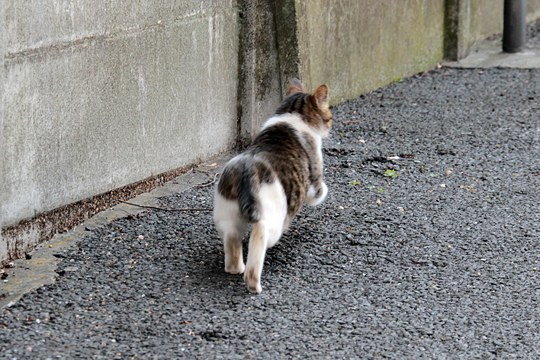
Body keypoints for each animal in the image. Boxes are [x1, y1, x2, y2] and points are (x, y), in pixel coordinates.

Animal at [212, 79, 332, 292]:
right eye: (329, 117)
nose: (330, 126)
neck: (291, 114)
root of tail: (247, 169)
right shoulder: (315, 175)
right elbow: (319, 191)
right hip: (272, 218)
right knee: (260, 236)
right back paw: (253, 284)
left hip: (226, 215)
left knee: (232, 241)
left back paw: (236, 269)